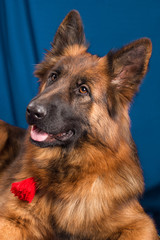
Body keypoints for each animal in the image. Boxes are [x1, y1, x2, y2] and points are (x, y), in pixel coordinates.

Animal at [0, 9, 158, 240]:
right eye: (53, 77)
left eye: (83, 90)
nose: (32, 111)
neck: (66, 171)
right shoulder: (10, 218)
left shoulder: (141, 223)